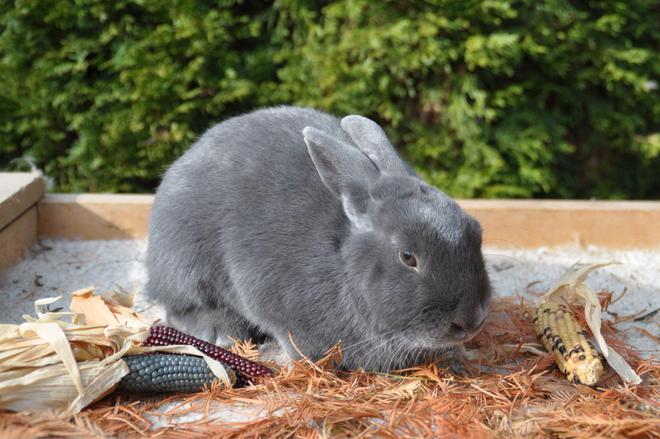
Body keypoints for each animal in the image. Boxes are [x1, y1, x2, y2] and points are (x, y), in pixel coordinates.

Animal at [147, 105, 492, 372]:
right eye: (408, 257)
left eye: (476, 231)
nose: (471, 320)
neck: (343, 260)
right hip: (186, 263)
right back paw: (220, 333)